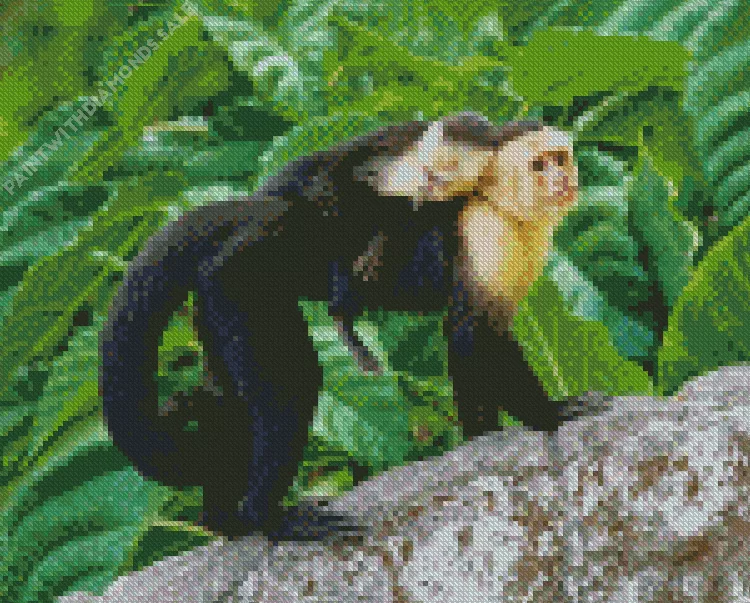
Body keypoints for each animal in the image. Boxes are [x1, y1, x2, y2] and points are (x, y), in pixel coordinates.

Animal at [100, 113, 578, 538]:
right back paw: (268, 518)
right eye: (539, 165)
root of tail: (255, 219)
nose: (562, 179)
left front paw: (491, 434)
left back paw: (224, 518)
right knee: (292, 385)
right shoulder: (485, 234)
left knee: (223, 394)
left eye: (560, 158)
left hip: (213, 302)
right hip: (240, 281)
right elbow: (472, 334)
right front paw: (543, 415)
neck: (502, 205)